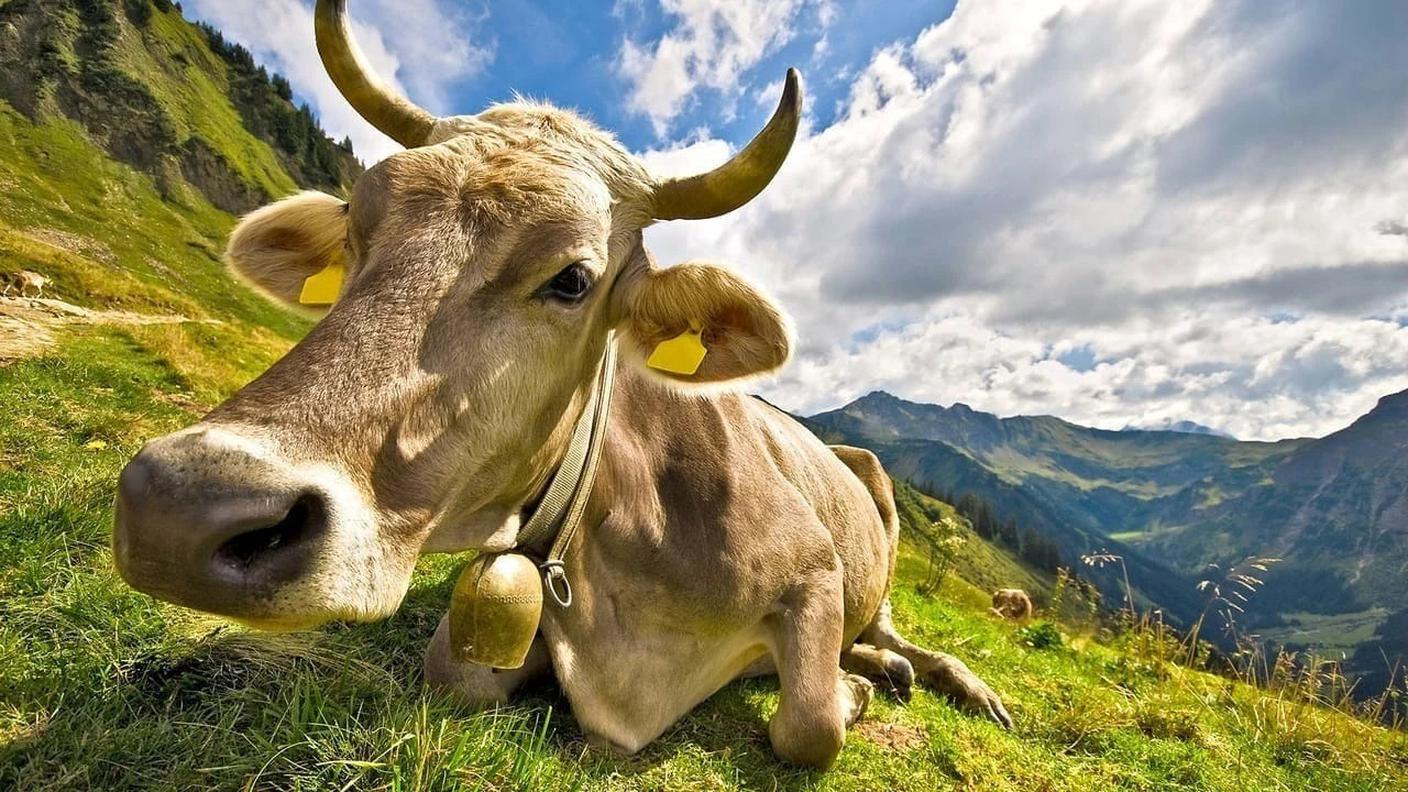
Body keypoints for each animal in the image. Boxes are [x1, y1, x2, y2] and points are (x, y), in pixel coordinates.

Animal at [111, 0, 1009, 768]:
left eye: (573, 280)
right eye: (359, 233)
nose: (182, 503)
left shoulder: (817, 571)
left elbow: (811, 725)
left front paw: (854, 692)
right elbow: (455, 672)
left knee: (897, 636)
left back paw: (944, 680)